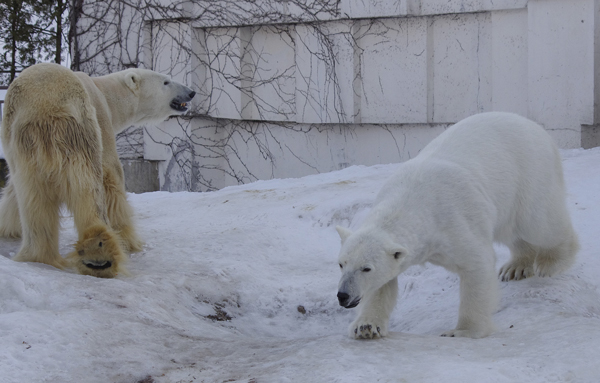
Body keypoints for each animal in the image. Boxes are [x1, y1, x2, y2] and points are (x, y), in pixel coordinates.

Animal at [0, 63, 195, 280]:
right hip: (79, 130)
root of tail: (43, 107)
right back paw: (99, 256)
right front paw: (129, 241)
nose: (191, 92)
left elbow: (12, 192)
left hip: (22, 146)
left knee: (33, 198)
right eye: (166, 81)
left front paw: (6, 227)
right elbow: (112, 176)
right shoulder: (102, 121)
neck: (107, 93)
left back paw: (38, 255)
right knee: (89, 189)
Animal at [336, 112, 580, 340]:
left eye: (366, 268)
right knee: (512, 231)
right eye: (341, 264)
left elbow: (477, 265)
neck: (411, 199)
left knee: (539, 223)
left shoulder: (454, 221)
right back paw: (516, 268)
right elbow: (382, 285)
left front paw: (462, 331)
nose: (343, 295)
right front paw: (365, 327)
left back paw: (551, 262)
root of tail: (537, 128)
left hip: (528, 174)